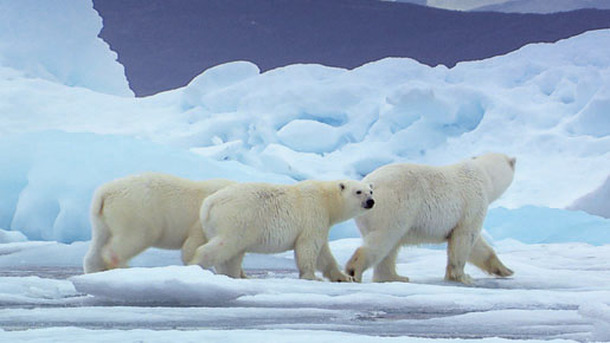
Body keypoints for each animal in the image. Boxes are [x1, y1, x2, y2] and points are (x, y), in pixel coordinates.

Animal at [85, 175, 235, 274]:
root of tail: (104, 193)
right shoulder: (203, 220)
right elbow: (194, 243)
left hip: (101, 219)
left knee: (99, 243)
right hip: (136, 212)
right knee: (136, 237)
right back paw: (124, 267)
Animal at [190, 180, 372, 282]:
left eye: (371, 190)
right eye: (358, 191)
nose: (371, 201)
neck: (327, 199)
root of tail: (208, 204)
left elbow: (323, 254)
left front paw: (344, 277)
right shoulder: (314, 214)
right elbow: (308, 246)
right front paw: (312, 276)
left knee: (232, 252)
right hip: (237, 220)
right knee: (226, 246)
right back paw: (197, 265)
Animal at [342, 155, 512, 286]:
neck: (482, 174)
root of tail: (367, 186)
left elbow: (478, 246)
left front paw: (506, 270)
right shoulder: (473, 204)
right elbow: (464, 238)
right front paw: (463, 277)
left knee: (389, 248)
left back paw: (395, 277)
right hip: (394, 207)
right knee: (384, 240)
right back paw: (354, 270)